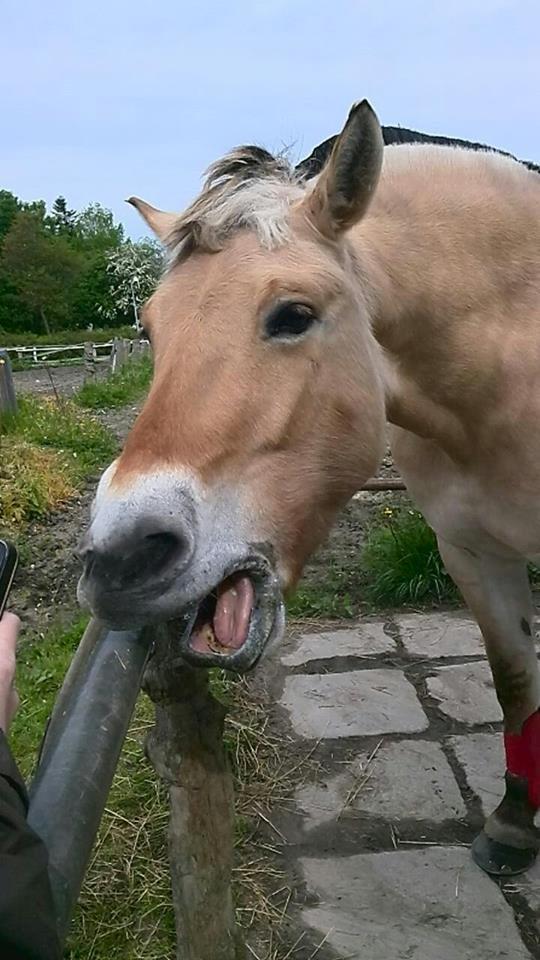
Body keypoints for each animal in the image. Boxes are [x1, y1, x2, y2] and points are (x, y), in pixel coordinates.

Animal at [77, 100, 540, 877]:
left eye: (293, 314)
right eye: (150, 327)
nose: (121, 557)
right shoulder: (473, 553)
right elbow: (516, 682)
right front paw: (515, 822)